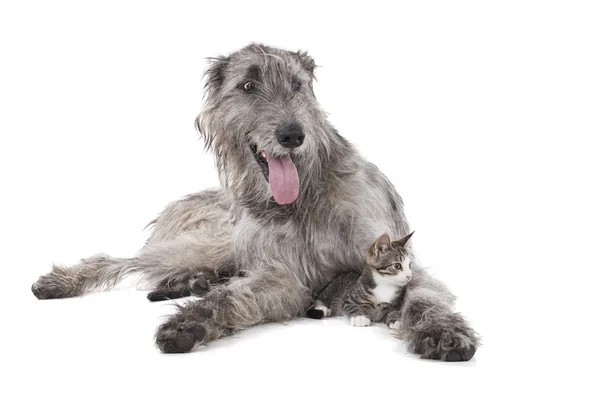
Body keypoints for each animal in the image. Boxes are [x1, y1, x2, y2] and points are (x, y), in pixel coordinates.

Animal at [31, 44, 478, 362]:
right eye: (248, 86)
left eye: (297, 85)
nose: (292, 135)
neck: (304, 199)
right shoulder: (283, 276)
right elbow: (235, 296)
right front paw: (190, 323)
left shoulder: (391, 252)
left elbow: (424, 296)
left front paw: (443, 332)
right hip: (206, 244)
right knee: (122, 260)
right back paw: (64, 280)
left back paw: (193, 283)